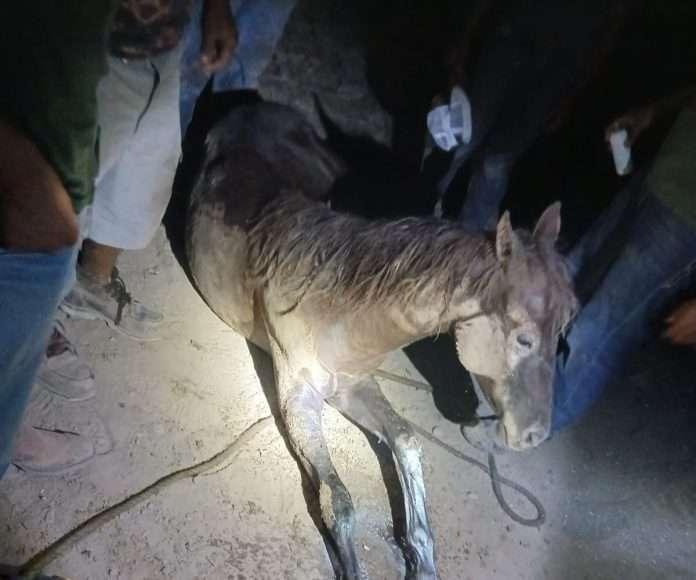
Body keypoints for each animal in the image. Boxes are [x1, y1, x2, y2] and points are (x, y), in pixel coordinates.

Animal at [185, 101, 578, 579]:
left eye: (566, 324)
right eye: (523, 339)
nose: (534, 436)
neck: (337, 306)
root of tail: (251, 104)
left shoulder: (353, 385)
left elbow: (405, 441)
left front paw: (422, 560)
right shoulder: (300, 399)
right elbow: (338, 500)